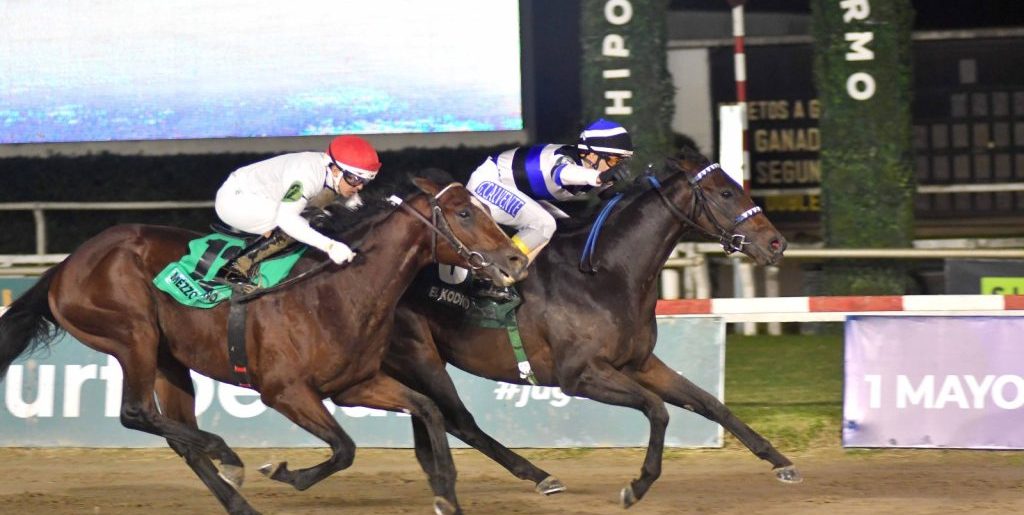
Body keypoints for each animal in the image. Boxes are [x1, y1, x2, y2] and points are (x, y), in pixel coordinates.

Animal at [0, 170, 528, 513]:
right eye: (464, 212)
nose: (515, 261)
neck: (339, 289)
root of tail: (64, 268)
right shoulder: (284, 391)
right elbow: (345, 448)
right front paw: (283, 472)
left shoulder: (354, 384)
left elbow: (429, 409)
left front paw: (447, 494)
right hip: (133, 335)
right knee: (135, 412)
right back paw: (228, 454)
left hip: (171, 359)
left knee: (177, 435)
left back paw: (237, 499)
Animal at [385, 149, 798, 507]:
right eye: (726, 192)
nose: (777, 243)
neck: (606, 273)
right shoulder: (579, 374)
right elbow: (658, 409)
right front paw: (638, 485)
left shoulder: (639, 363)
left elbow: (710, 403)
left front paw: (781, 462)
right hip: (419, 355)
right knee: (459, 421)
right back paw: (538, 476)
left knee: (431, 418)